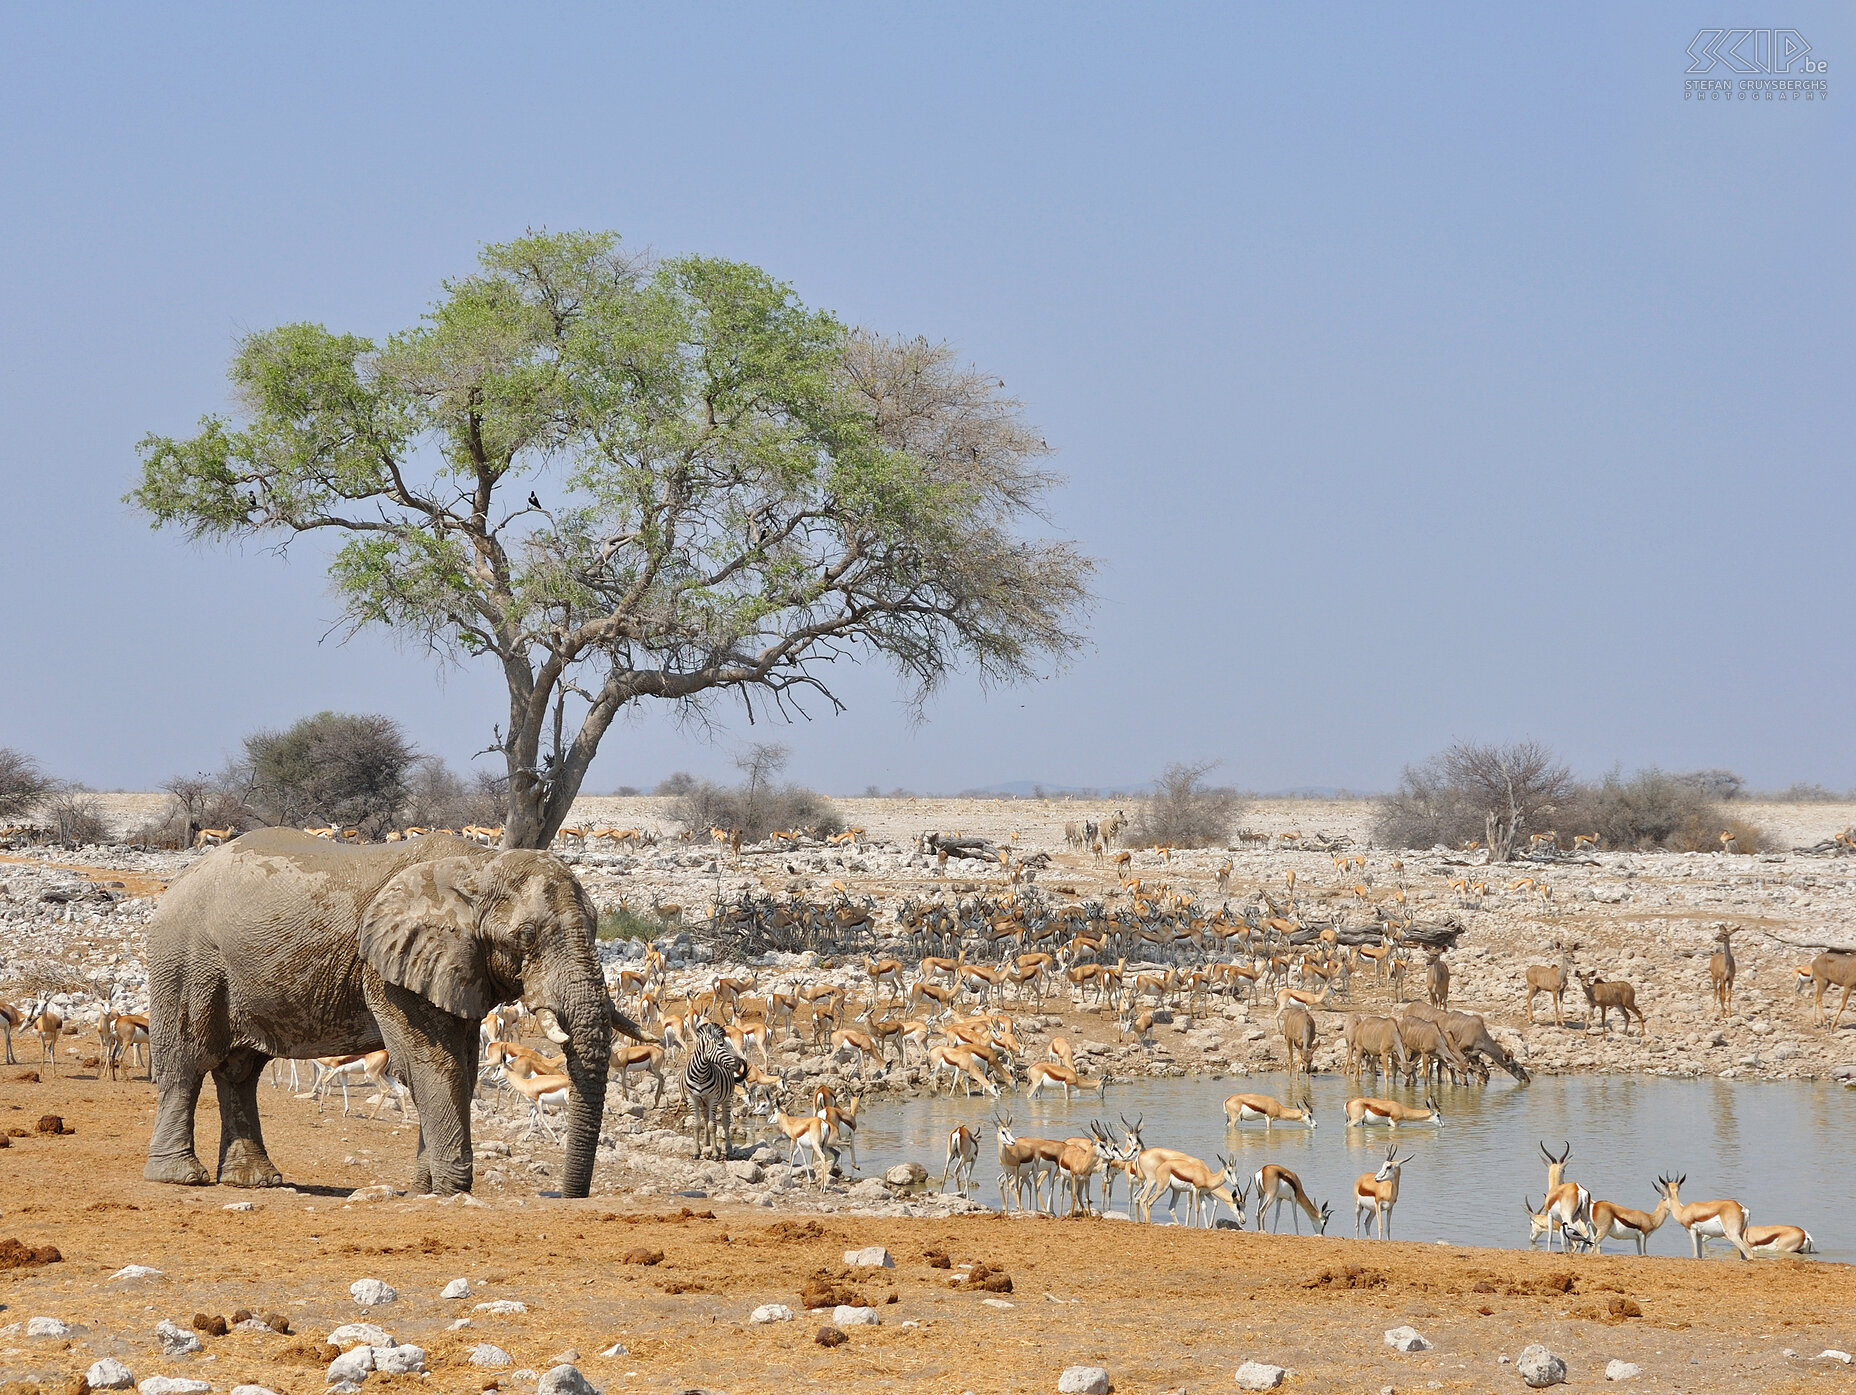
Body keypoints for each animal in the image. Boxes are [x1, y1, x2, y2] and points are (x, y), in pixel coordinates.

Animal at [142, 827, 645, 1202]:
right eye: (526, 936)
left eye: (596, 926)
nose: (566, 1196)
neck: (479, 865)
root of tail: (178, 880)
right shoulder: (388, 971)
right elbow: (432, 1063)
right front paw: (451, 1189)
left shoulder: (456, 966)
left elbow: (461, 1065)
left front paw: (425, 1188)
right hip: (187, 957)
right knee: (188, 1061)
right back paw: (180, 1176)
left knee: (241, 1070)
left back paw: (255, 1181)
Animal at [683, 1016, 746, 1157]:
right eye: (721, 1046)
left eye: (726, 1045)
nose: (739, 1063)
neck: (700, 1074)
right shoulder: (692, 1099)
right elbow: (697, 1124)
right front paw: (696, 1151)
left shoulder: (713, 1098)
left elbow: (713, 1126)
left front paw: (715, 1153)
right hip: (704, 1103)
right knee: (706, 1120)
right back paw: (707, 1144)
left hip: (727, 1099)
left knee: (725, 1122)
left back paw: (727, 1149)